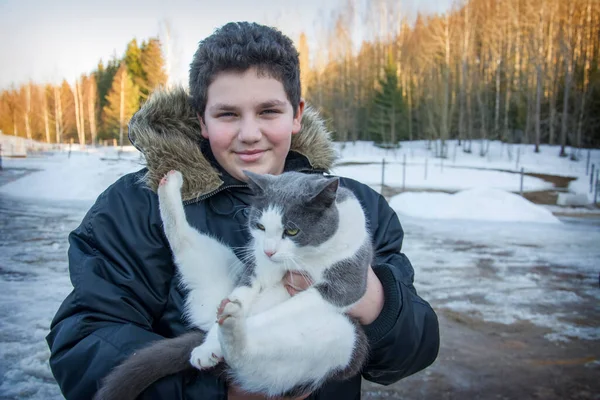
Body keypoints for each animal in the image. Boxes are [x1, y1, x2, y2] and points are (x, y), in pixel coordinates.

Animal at [96, 170, 372, 400]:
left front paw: (246, 321)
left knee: (251, 356)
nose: (269, 250)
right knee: (185, 242)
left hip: (341, 342)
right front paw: (211, 343)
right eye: (260, 226)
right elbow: (246, 289)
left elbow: (275, 313)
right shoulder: (256, 266)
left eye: (292, 231)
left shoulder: (346, 280)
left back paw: (232, 327)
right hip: (216, 269)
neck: (305, 257)